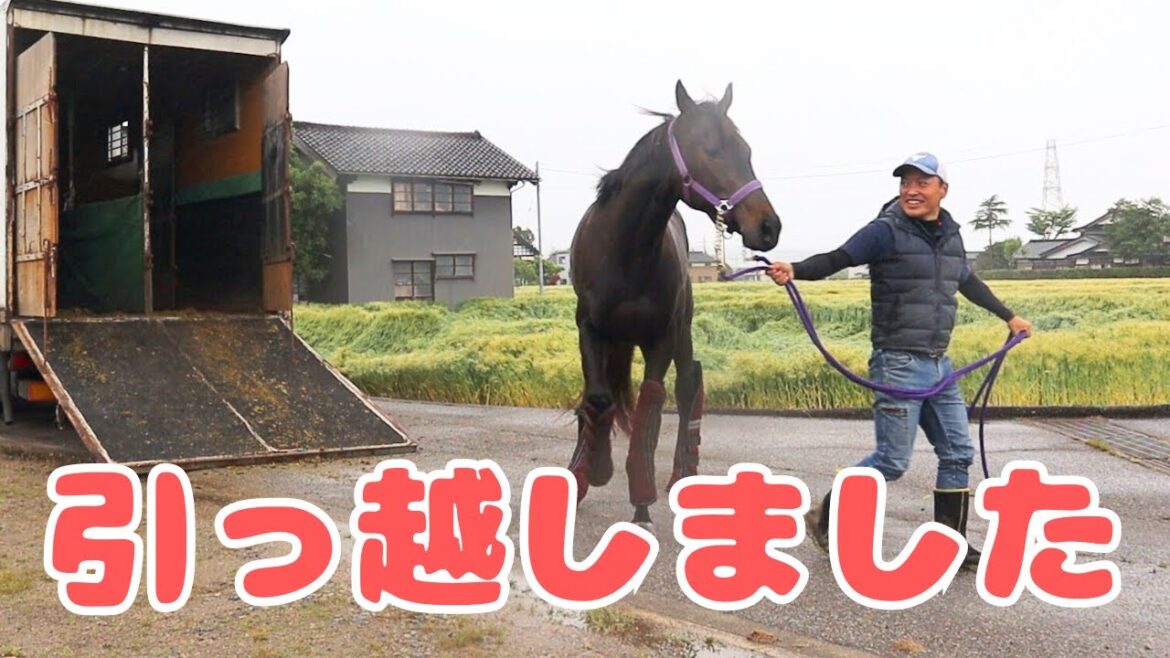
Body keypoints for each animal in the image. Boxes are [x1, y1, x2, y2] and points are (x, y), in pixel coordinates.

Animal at [567, 80, 781, 529]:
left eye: (747, 151)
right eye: (712, 149)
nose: (769, 226)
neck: (626, 250)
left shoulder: (662, 336)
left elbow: (651, 402)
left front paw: (641, 500)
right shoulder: (589, 330)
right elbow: (596, 398)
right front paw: (592, 468)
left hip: (683, 331)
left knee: (687, 386)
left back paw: (683, 471)